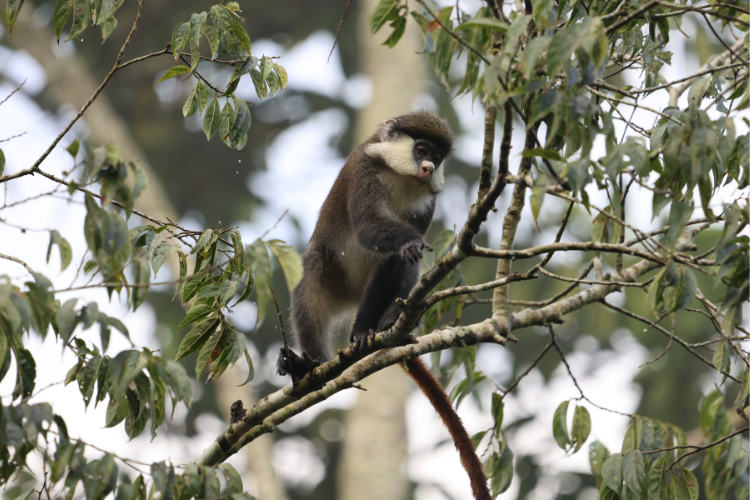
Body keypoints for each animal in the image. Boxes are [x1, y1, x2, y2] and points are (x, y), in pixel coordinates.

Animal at [276, 110, 492, 500]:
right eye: (421, 149)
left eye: (436, 158)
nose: (427, 167)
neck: (401, 177)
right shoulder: (364, 169)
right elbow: (369, 225)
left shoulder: (428, 203)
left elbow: (401, 258)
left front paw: (371, 326)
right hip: (332, 278)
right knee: (314, 267)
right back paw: (310, 366)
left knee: (398, 267)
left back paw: (385, 322)